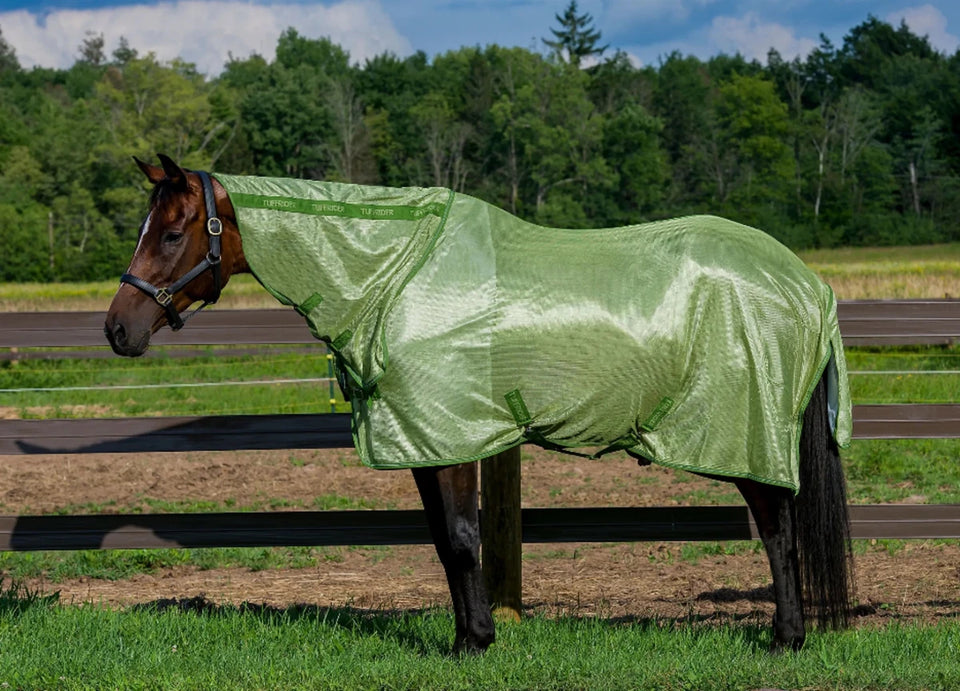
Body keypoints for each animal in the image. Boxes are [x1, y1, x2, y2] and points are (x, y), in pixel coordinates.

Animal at [105, 154, 854, 654]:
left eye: (171, 232)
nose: (118, 329)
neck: (396, 275)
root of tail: (806, 282)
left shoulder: (450, 433)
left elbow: (464, 540)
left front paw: (474, 644)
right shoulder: (423, 438)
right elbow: (444, 542)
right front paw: (470, 633)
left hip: (746, 432)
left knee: (779, 530)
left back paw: (786, 638)